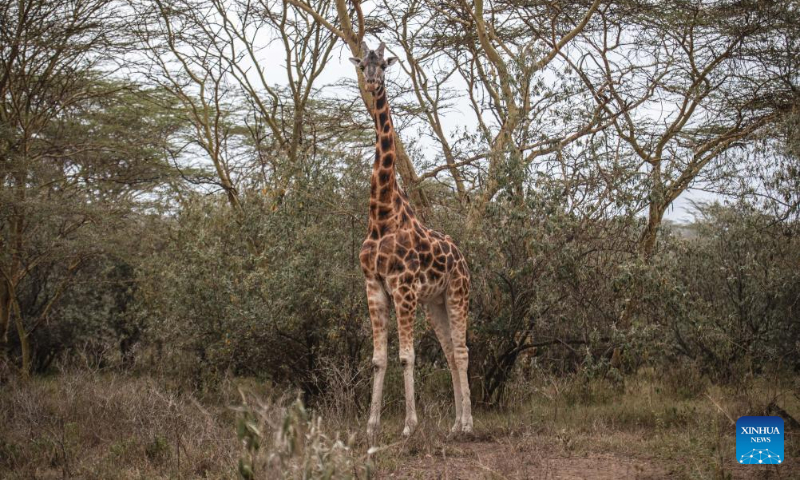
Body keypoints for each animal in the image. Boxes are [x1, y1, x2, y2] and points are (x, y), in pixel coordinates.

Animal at [346, 43, 472, 448]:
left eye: (383, 65)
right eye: (362, 64)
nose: (372, 83)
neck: (381, 214)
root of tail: (463, 258)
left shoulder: (403, 287)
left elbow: (406, 356)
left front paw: (408, 426)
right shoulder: (373, 285)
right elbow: (378, 359)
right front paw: (370, 427)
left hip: (457, 293)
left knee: (461, 351)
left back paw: (468, 425)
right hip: (435, 302)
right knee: (449, 352)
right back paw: (455, 424)